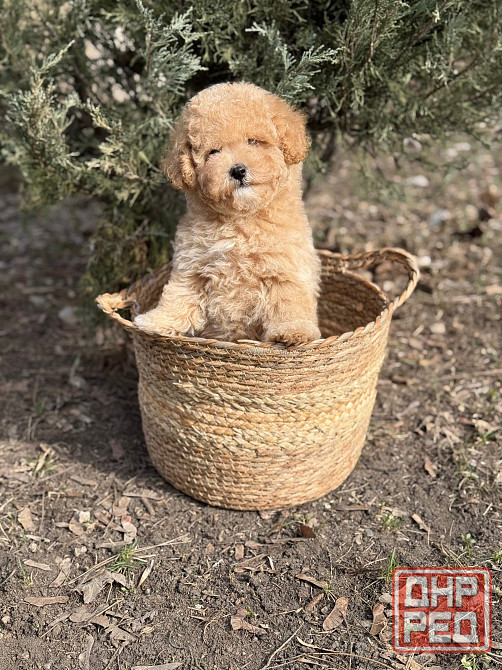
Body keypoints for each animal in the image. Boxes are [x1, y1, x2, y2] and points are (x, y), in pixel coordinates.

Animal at [134, 82, 321, 345]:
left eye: (253, 141)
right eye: (214, 152)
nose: (238, 170)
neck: (240, 220)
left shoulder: (286, 269)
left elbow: (289, 302)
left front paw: (293, 331)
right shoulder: (192, 267)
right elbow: (178, 295)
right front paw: (156, 320)